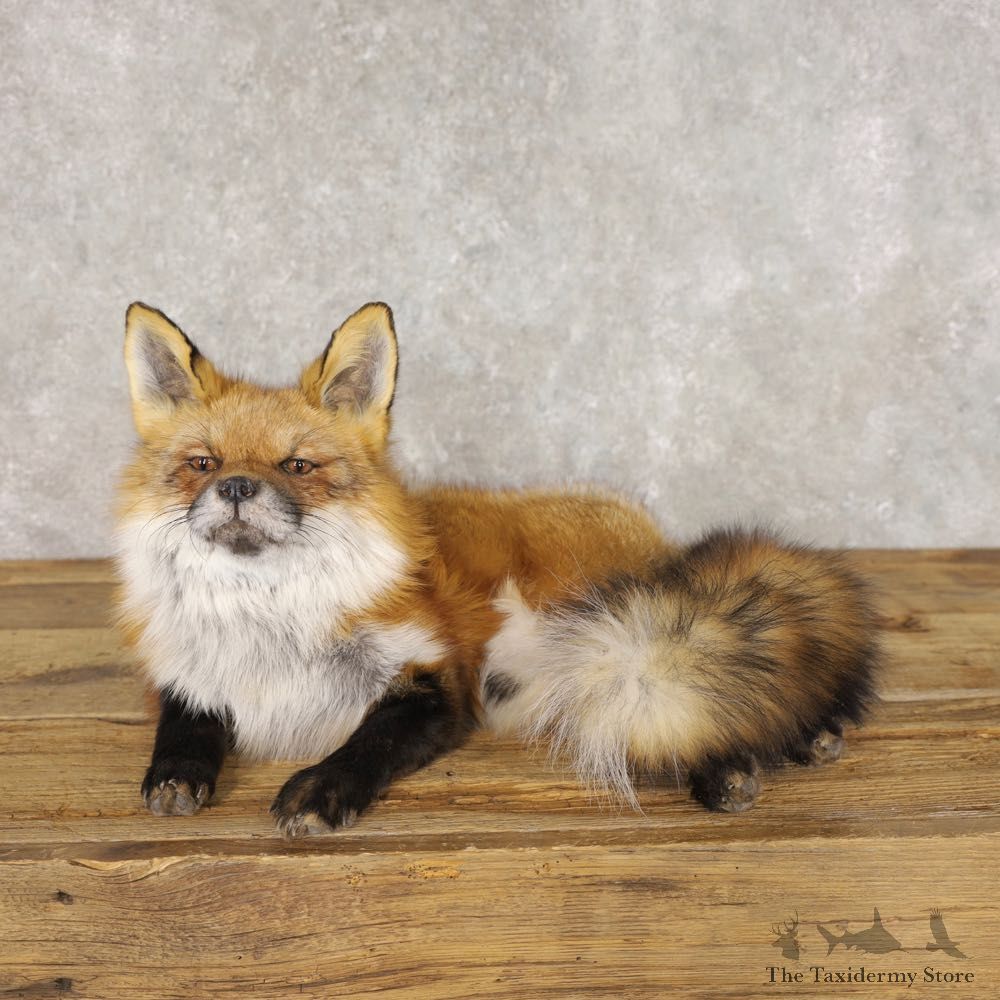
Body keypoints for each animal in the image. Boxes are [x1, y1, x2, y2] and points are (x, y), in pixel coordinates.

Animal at [116, 301, 880, 836]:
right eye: (203, 463)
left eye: (297, 466)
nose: (237, 488)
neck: (268, 624)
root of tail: (655, 540)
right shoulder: (189, 677)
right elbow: (184, 727)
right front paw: (176, 773)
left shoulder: (436, 681)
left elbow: (367, 742)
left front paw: (323, 788)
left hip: (605, 652)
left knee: (698, 702)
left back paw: (751, 759)